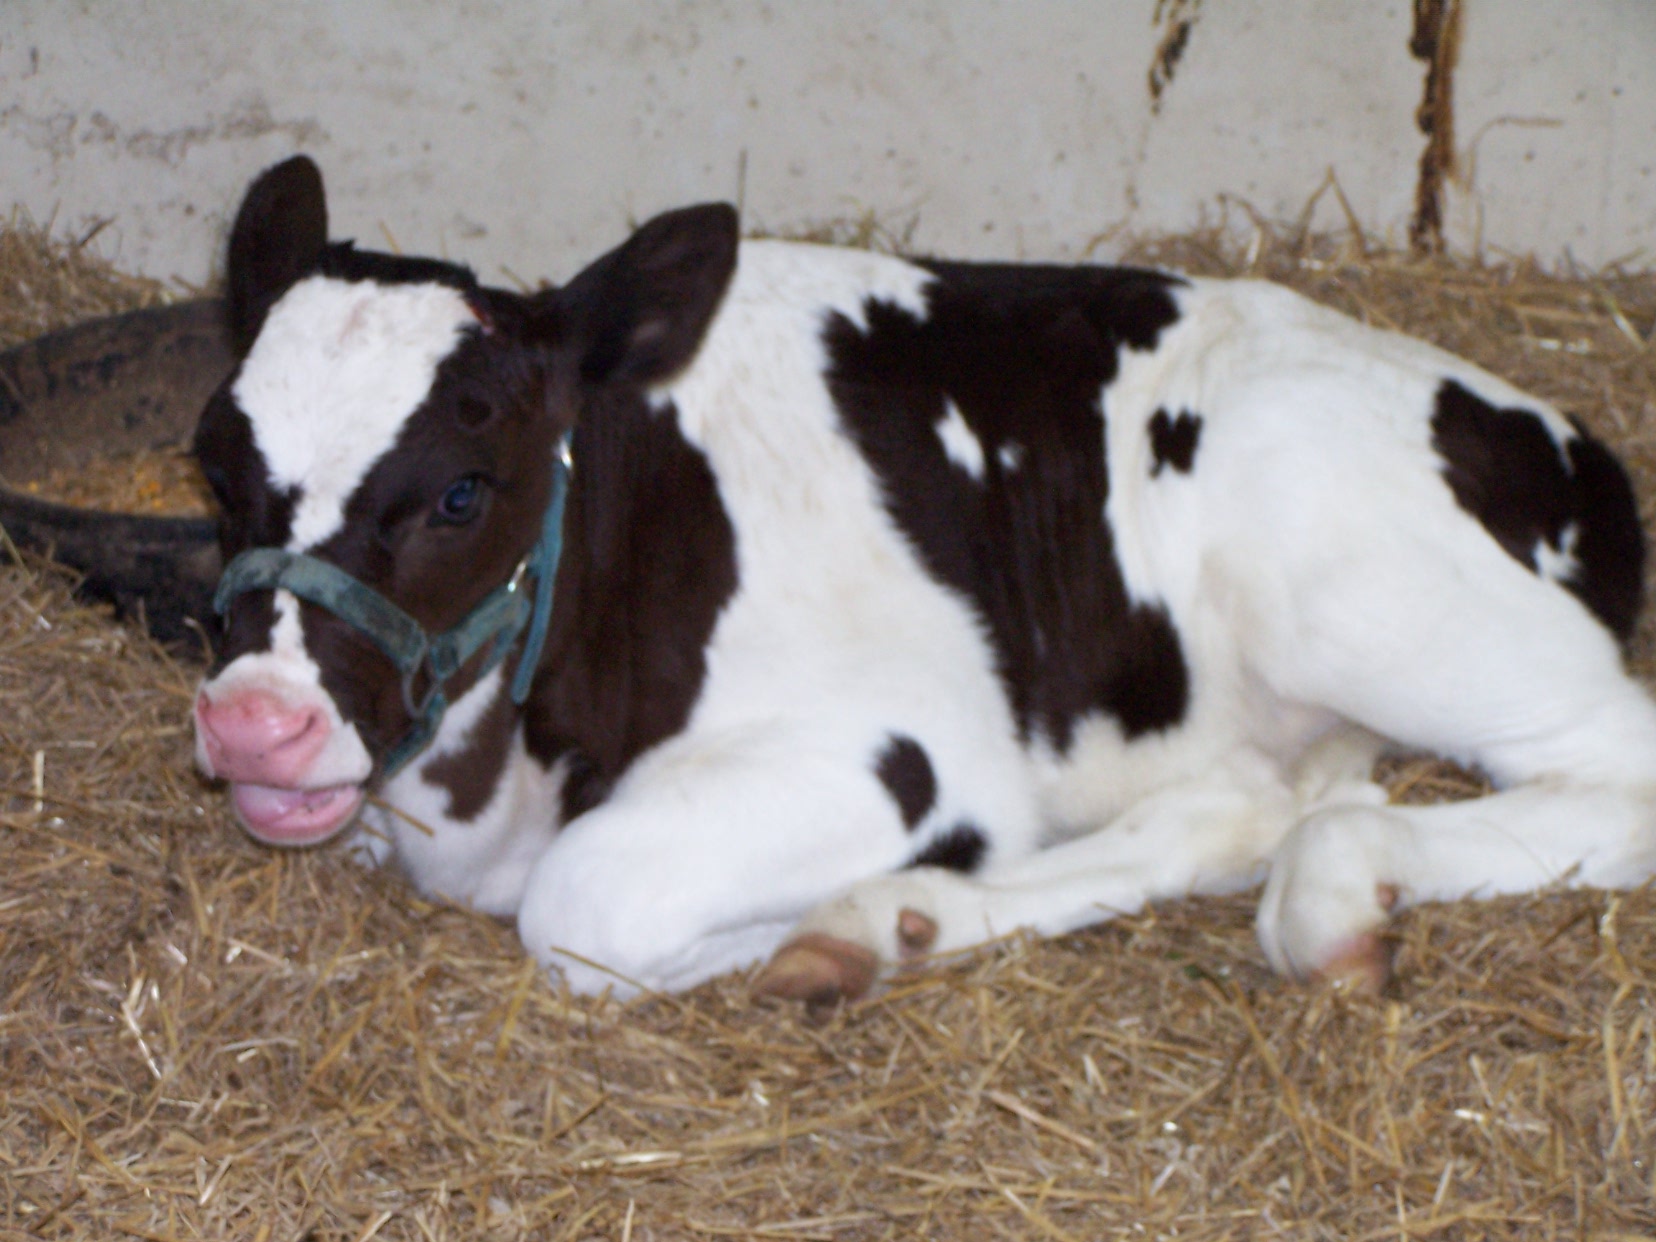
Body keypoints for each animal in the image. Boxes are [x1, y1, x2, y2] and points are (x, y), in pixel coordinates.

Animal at [193, 156, 1656, 1003]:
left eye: (461, 490)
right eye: (215, 461)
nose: (254, 722)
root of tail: (1559, 437)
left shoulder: (894, 749)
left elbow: (585, 909)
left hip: (1342, 575)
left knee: (1604, 771)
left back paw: (1334, 888)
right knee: (1243, 801)